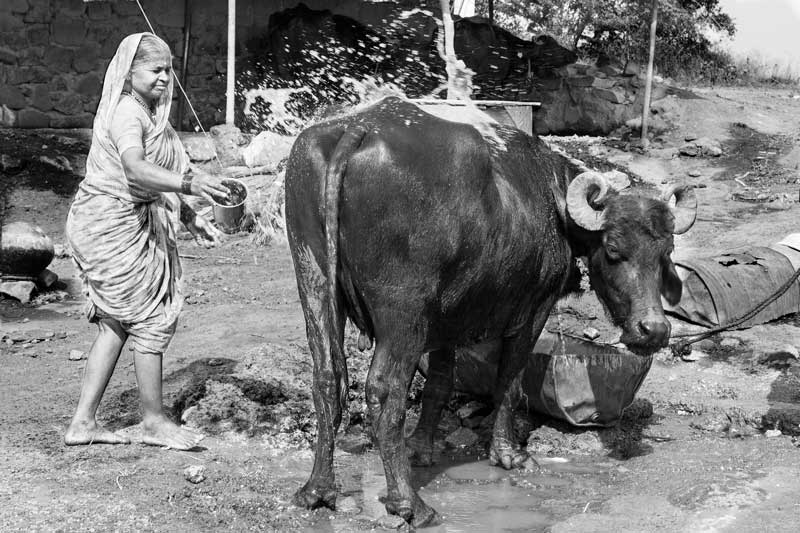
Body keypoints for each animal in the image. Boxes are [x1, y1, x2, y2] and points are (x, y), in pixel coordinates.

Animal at [284, 96, 696, 527]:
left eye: (665, 251)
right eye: (614, 250)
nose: (653, 330)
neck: (550, 200)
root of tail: (358, 128)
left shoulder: (448, 317)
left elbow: (439, 385)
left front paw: (422, 449)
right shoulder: (531, 311)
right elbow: (509, 382)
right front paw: (508, 454)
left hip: (313, 282)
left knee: (327, 377)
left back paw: (317, 489)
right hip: (403, 314)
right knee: (385, 389)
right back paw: (409, 503)